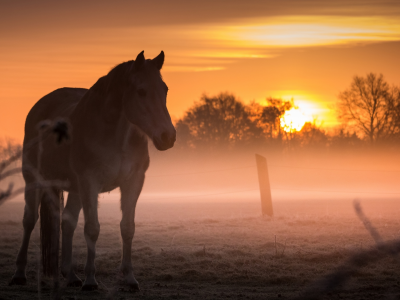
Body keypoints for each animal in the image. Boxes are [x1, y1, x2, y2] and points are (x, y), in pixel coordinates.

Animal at [9, 51, 174, 290]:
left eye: (165, 89)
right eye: (141, 91)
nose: (168, 136)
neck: (116, 136)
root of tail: (39, 106)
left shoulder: (133, 182)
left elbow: (127, 228)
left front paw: (129, 278)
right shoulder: (90, 182)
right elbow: (92, 229)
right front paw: (90, 280)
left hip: (75, 189)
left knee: (67, 222)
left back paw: (70, 275)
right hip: (34, 180)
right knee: (29, 220)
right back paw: (19, 274)